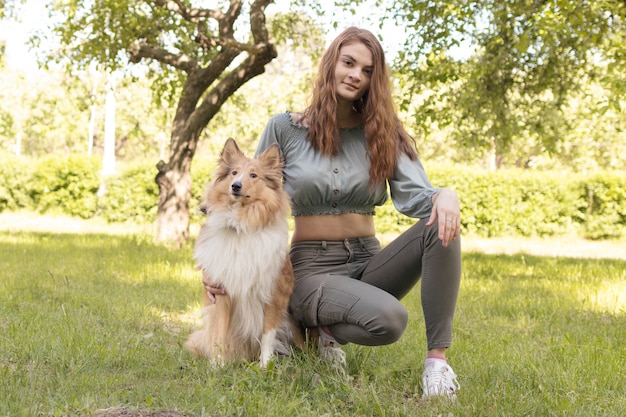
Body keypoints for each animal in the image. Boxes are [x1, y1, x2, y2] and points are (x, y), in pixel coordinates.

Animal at [184, 138, 302, 366]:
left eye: (254, 175)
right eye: (234, 172)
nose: (235, 185)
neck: (241, 225)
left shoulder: (273, 293)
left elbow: (268, 335)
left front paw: (265, 367)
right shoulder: (221, 292)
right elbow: (220, 333)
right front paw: (217, 366)